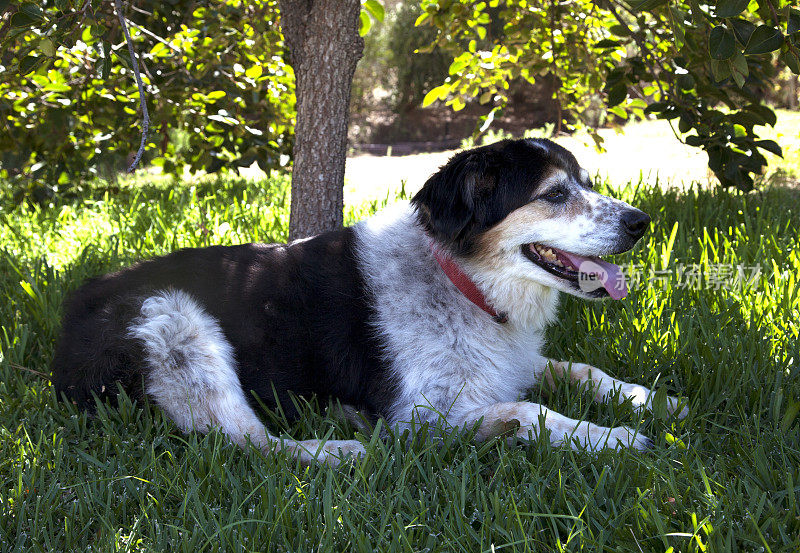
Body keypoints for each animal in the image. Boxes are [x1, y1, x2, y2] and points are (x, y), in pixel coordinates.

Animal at [50, 136, 688, 464]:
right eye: (554, 194)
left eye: (585, 182)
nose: (641, 223)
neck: (459, 279)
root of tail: (76, 305)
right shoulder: (422, 416)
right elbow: (530, 413)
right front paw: (614, 437)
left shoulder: (513, 362)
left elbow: (585, 371)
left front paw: (653, 401)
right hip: (176, 324)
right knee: (246, 444)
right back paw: (340, 447)